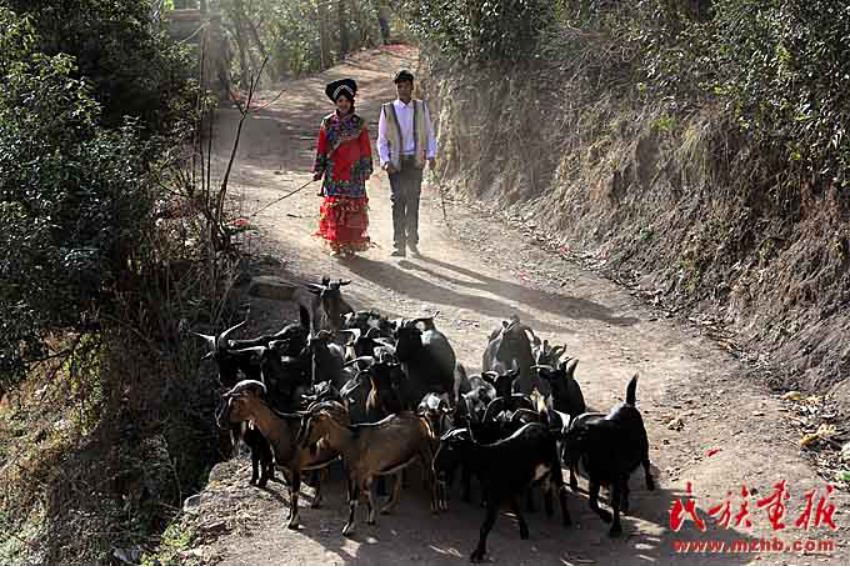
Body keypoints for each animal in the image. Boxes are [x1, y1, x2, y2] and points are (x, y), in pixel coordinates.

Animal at [215, 381, 343, 529]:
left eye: (235, 403)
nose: (220, 420)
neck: (283, 430)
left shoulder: (296, 467)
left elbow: (294, 492)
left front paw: (294, 521)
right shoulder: (284, 468)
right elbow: (289, 491)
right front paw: (290, 515)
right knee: (321, 472)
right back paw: (316, 501)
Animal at [297, 404, 438, 536]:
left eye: (312, 425)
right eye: (303, 423)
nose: (301, 443)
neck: (350, 440)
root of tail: (420, 418)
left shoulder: (358, 474)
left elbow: (354, 501)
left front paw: (349, 528)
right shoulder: (359, 474)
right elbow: (366, 492)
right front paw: (371, 518)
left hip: (425, 452)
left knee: (432, 477)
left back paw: (434, 508)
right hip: (399, 461)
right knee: (398, 482)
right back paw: (387, 508)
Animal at [433, 423, 570, 562]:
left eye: (451, 447)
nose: (435, 466)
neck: (486, 461)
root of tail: (544, 427)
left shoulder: (494, 495)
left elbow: (485, 526)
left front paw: (478, 554)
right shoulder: (506, 490)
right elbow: (515, 508)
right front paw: (524, 531)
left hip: (555, 465)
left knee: (561, 491)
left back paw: (567, 521)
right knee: (546, 487)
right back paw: (549, 511)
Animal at [562, 375, 655, 536]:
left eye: (579, 440)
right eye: (564, 438)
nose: (565, 458)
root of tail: (628, 403)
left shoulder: (614, 478)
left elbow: (614, 502)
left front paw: (615, 528)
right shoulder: (595, 478)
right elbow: (592, 503)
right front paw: (606, 517)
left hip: (644, 447)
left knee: (646, 463)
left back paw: (650, 484)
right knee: (626, 483)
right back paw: (625, 504)